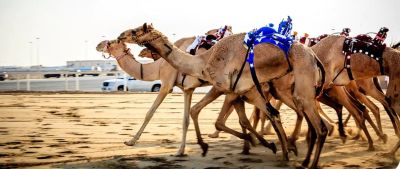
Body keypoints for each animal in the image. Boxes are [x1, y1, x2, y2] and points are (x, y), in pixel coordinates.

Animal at [118, 22, 328, 168]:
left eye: (135, 31)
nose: (120, 35)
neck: (203, 61)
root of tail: (314, 56)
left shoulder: (229, 88)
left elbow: (217, 118)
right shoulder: (245, 90)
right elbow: (264, 116)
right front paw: (273, 149)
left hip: (301, 84)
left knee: (319, 126)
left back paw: (310, 161)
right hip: (296, 89)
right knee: (300, 117)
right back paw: (297, 154)